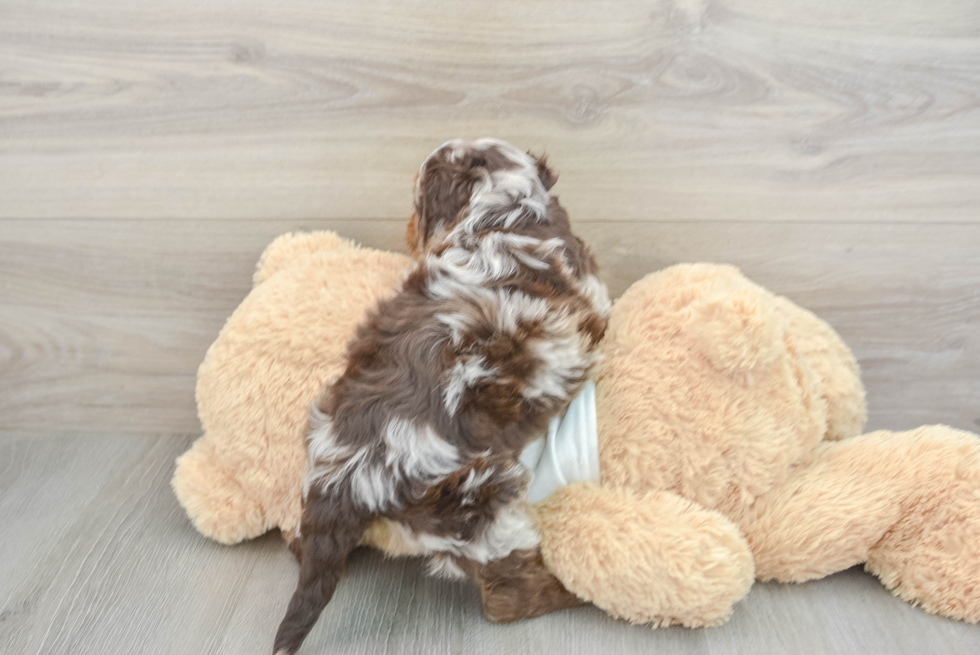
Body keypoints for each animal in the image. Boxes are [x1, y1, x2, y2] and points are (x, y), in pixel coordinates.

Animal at [272, 138, 608, 655]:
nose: (407, 229)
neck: (502, 208)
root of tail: (343, 484)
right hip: (485, 510)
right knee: (508, 597)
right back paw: (569, 592)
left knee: (300, 541)